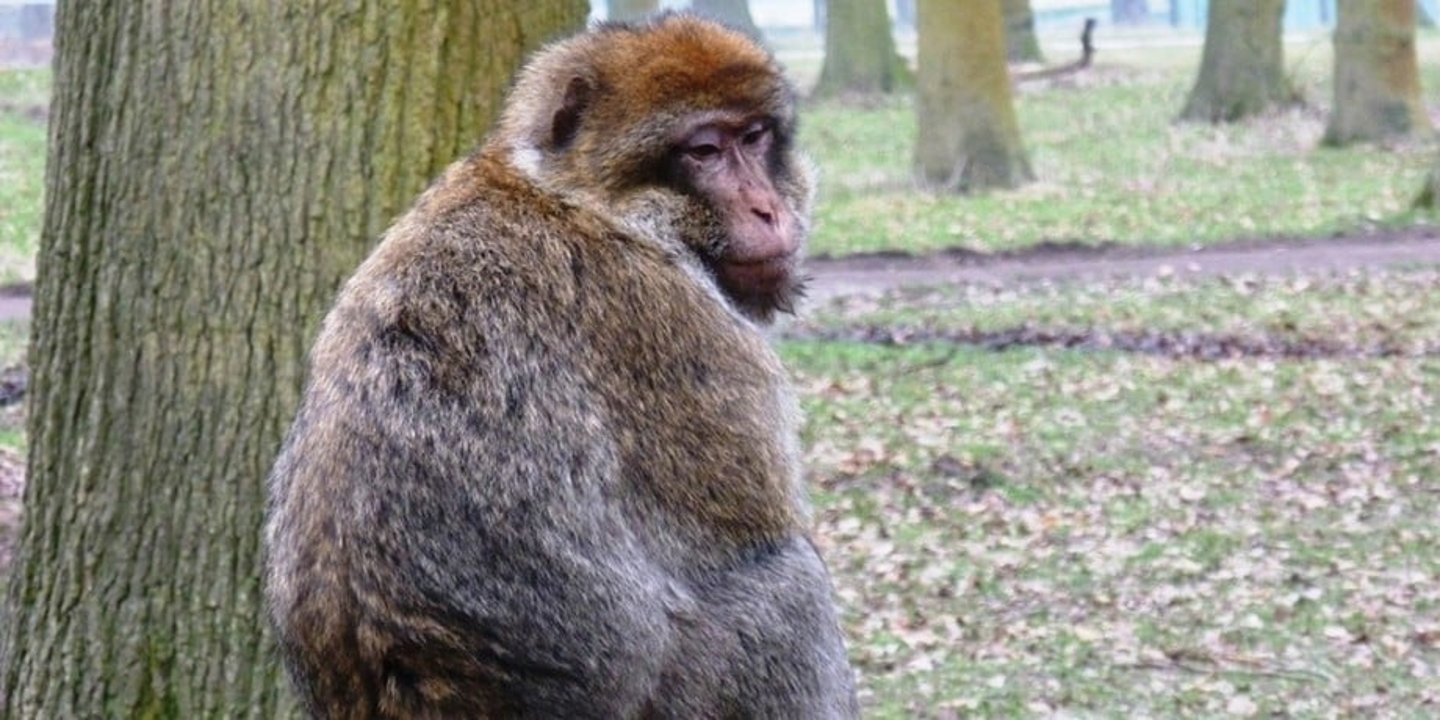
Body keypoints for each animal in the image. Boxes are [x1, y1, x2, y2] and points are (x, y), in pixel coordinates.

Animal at [264, 13, 858, 720]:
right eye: (704, 151)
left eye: (753, 136)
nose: (769, 209)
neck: (579, 199)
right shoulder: (675, 324)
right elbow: (761, 532)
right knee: (790, 588)